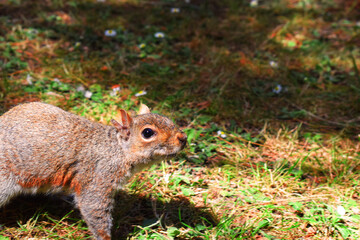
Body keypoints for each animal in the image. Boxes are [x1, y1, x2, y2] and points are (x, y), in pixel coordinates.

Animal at [0, 102, 187, 239]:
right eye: (147, 132)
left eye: (166, 118)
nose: (183, 138)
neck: (117, 149)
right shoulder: (99, 177)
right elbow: (93, 206)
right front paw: (105, 237)